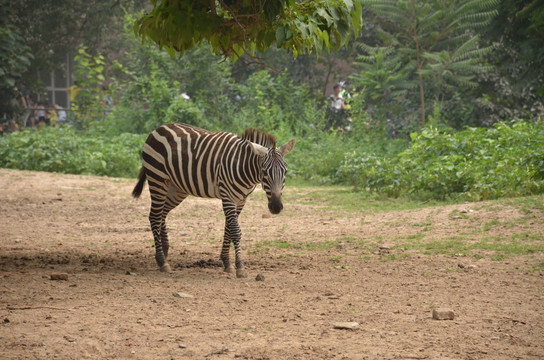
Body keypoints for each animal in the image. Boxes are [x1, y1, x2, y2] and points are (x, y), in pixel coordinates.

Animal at [131, 122, 296, 278]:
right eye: (264, 172)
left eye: (285, 171)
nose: (276, 207)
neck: (243, 166)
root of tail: (160, 127)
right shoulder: (227, 195)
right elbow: (235, 231)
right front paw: (240, 267)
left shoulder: (241, 200)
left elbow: (228, 228)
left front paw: (226, 262)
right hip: (157, 178)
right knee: (154, 216)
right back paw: (162, 261)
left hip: (176, 188)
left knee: (162, 214)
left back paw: (164, 252)